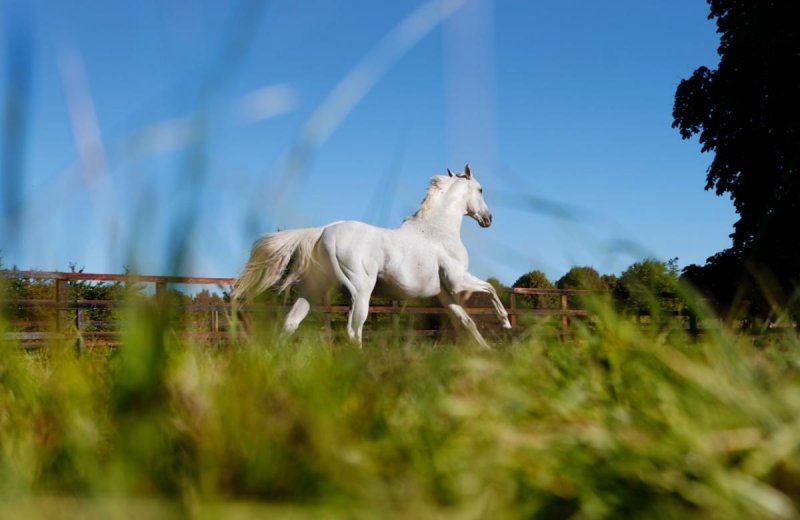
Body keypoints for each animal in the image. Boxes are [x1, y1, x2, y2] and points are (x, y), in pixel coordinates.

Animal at [231, 164, 511, 349]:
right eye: (481, 189)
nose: (488, 219)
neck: (438, 230)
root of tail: (324, 231)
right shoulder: (457, 280)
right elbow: (490, 289)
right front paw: (506, 323)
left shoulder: (444, 293)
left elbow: (468, 322)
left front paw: (487, 352)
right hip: (361, 290)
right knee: (354, 330)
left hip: (313, 290)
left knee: (291, 323)